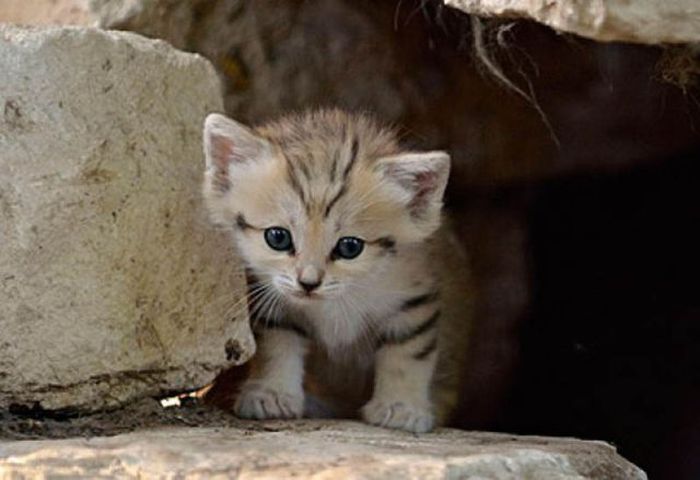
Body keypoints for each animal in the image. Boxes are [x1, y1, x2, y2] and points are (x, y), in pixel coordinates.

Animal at [205, 109, 474, 436]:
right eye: (277, 238)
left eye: (349, 247)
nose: (308, 282)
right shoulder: (271, 299)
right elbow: (277, 344)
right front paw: (271, 393)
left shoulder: (415, 298)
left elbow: (407, 353)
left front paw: (401, 407)